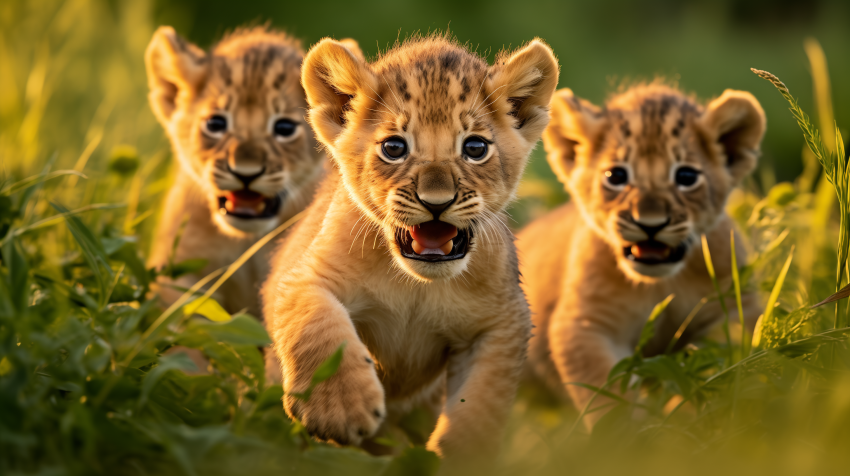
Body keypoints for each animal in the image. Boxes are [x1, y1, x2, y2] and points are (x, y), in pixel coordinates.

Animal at [262, 34, 559, 469]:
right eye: (394, 147)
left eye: (475, 147)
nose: (437, 202)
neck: (416, 284)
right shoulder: (301, 278)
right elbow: (316, 324)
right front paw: (339, 410)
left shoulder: (504, 320)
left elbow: (480, 404)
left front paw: (458, 460)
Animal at [519, 83, 765, 428]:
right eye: (615, 176)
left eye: (686, 177)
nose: (651, 224)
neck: (660, 283)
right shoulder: (586, 323)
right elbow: (609, 396)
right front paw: (636, 437)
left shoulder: (731, 309)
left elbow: (722, 365)